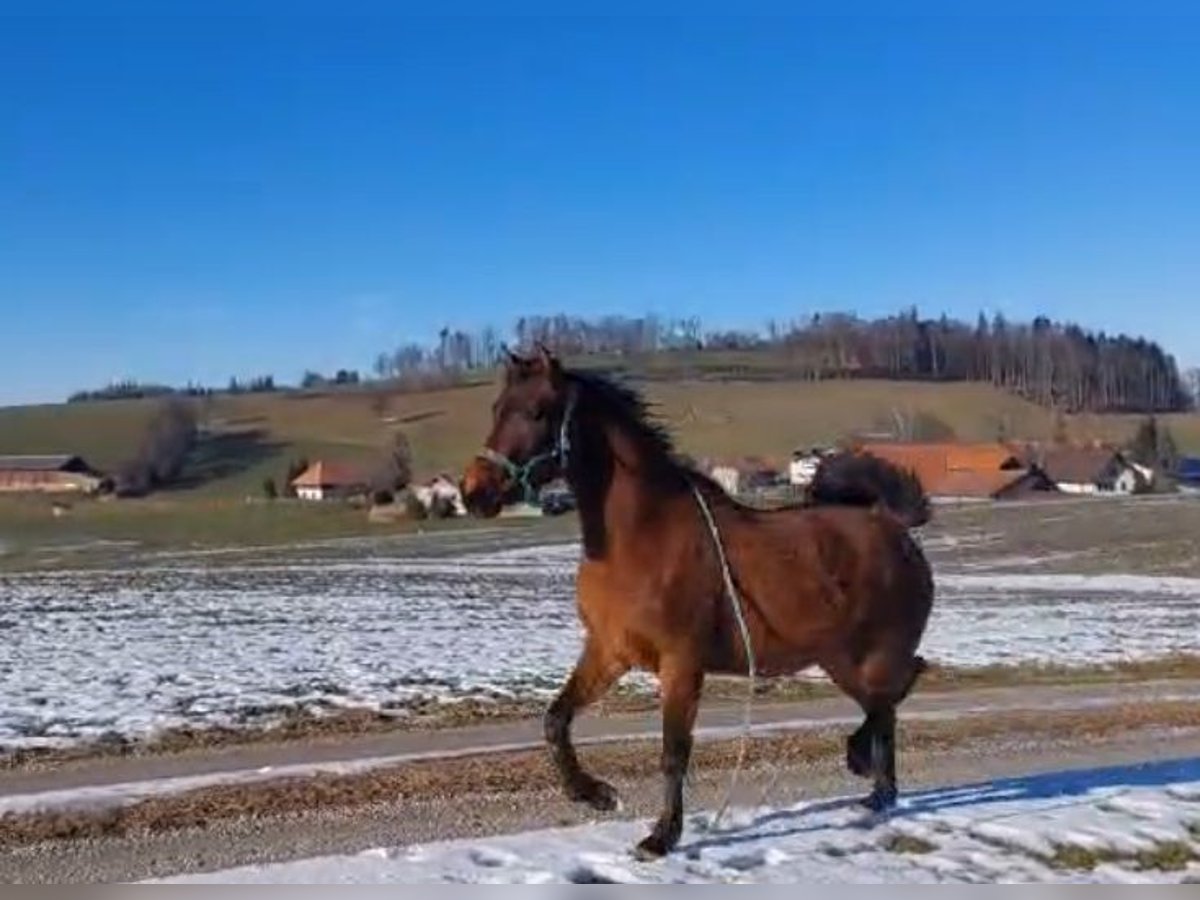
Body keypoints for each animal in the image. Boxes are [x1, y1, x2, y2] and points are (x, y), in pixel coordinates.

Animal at [460, 348, 936, 859]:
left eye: (537, 412)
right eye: (497, 408)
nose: (474, 492)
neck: (641, 538)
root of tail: (891, 523)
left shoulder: (681, 664)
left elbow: (673, 752)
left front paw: (661, 836)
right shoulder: (609, 651)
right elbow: (556, 719)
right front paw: (596, 795)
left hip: (873, 654)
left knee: (895, 693)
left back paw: (864, 766)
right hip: (839, 661)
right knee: (888, 702)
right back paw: (878, 791)